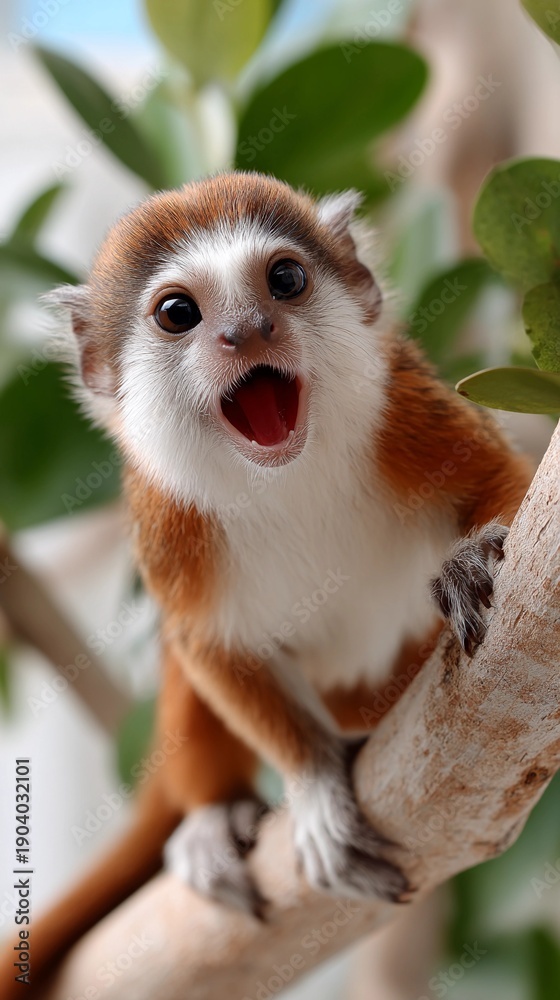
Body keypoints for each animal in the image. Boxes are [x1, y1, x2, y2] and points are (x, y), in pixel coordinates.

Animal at [0, 172, 532, 997]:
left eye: (285, 280)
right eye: (178, 313)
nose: (249, 331)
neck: (283, 476)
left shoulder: (402, 407)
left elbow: (508, 484)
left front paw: (472, 561)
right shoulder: (164, 517)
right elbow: (208, 645)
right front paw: (312, 784)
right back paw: (214, 816)